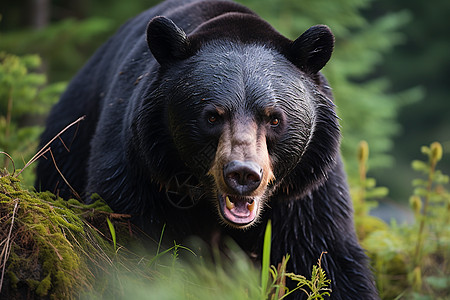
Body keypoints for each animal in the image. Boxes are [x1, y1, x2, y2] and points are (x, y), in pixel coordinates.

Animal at [36, 0, 380, 296]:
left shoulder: (304, 189)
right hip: (69, 140)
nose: (243, 174)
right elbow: (128, 236)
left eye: (274, 118)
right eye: (213, 115)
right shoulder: (139, 169)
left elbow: (325, 255)